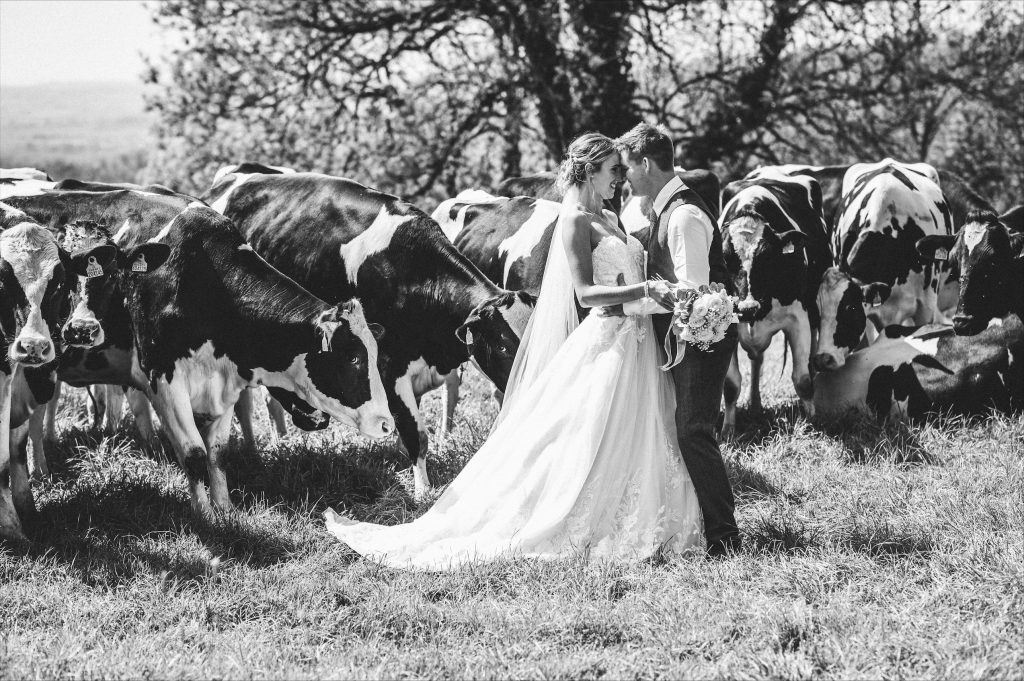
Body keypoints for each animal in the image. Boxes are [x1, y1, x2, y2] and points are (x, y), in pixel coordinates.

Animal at [6, 187, 393, 516]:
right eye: (353, 357)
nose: (386, 423)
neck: (199, 275)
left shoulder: (225, 382)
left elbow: (217, 453)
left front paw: (225, 507)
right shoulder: (163, 379)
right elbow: (193, 452)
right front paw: (204, 513)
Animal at [716, 166, 835, 430]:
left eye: (767, 258)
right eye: (726, 259)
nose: (748, 307)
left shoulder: (798, 318)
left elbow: (802, 380)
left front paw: (813, 423)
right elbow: (730, 385)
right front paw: (728, 428)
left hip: (813, 312)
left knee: (810, 361)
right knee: (757, 360)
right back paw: (755, 404)